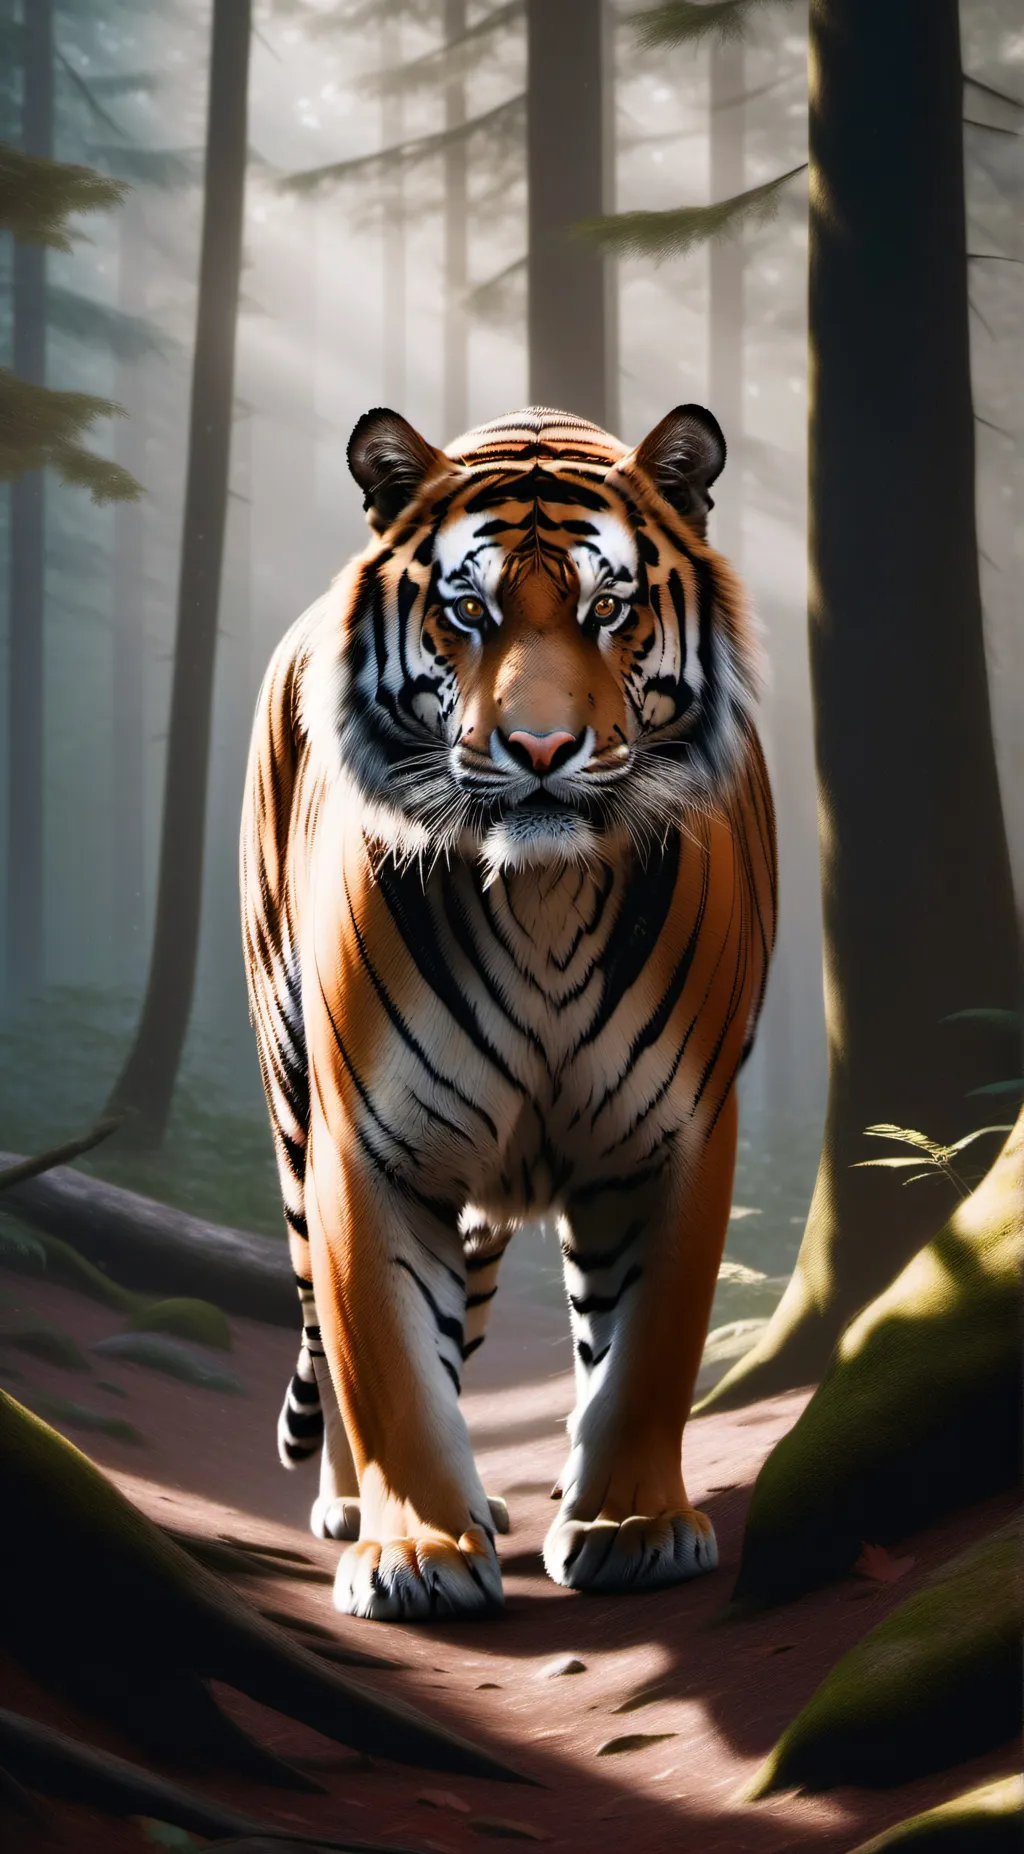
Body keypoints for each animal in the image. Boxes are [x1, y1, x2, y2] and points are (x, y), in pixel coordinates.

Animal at [240, 403, 776, 1621]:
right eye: (468, 612)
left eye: (607, 610)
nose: (538, 751)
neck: (541, 895)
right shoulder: (368, 1146)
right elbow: (386, 1356)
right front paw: (417, 1550)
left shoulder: (678, 1134)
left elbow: (648, 1347)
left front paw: (628, 1524)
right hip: (293, 1112)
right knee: (323, 1327)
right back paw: (352, 1507)